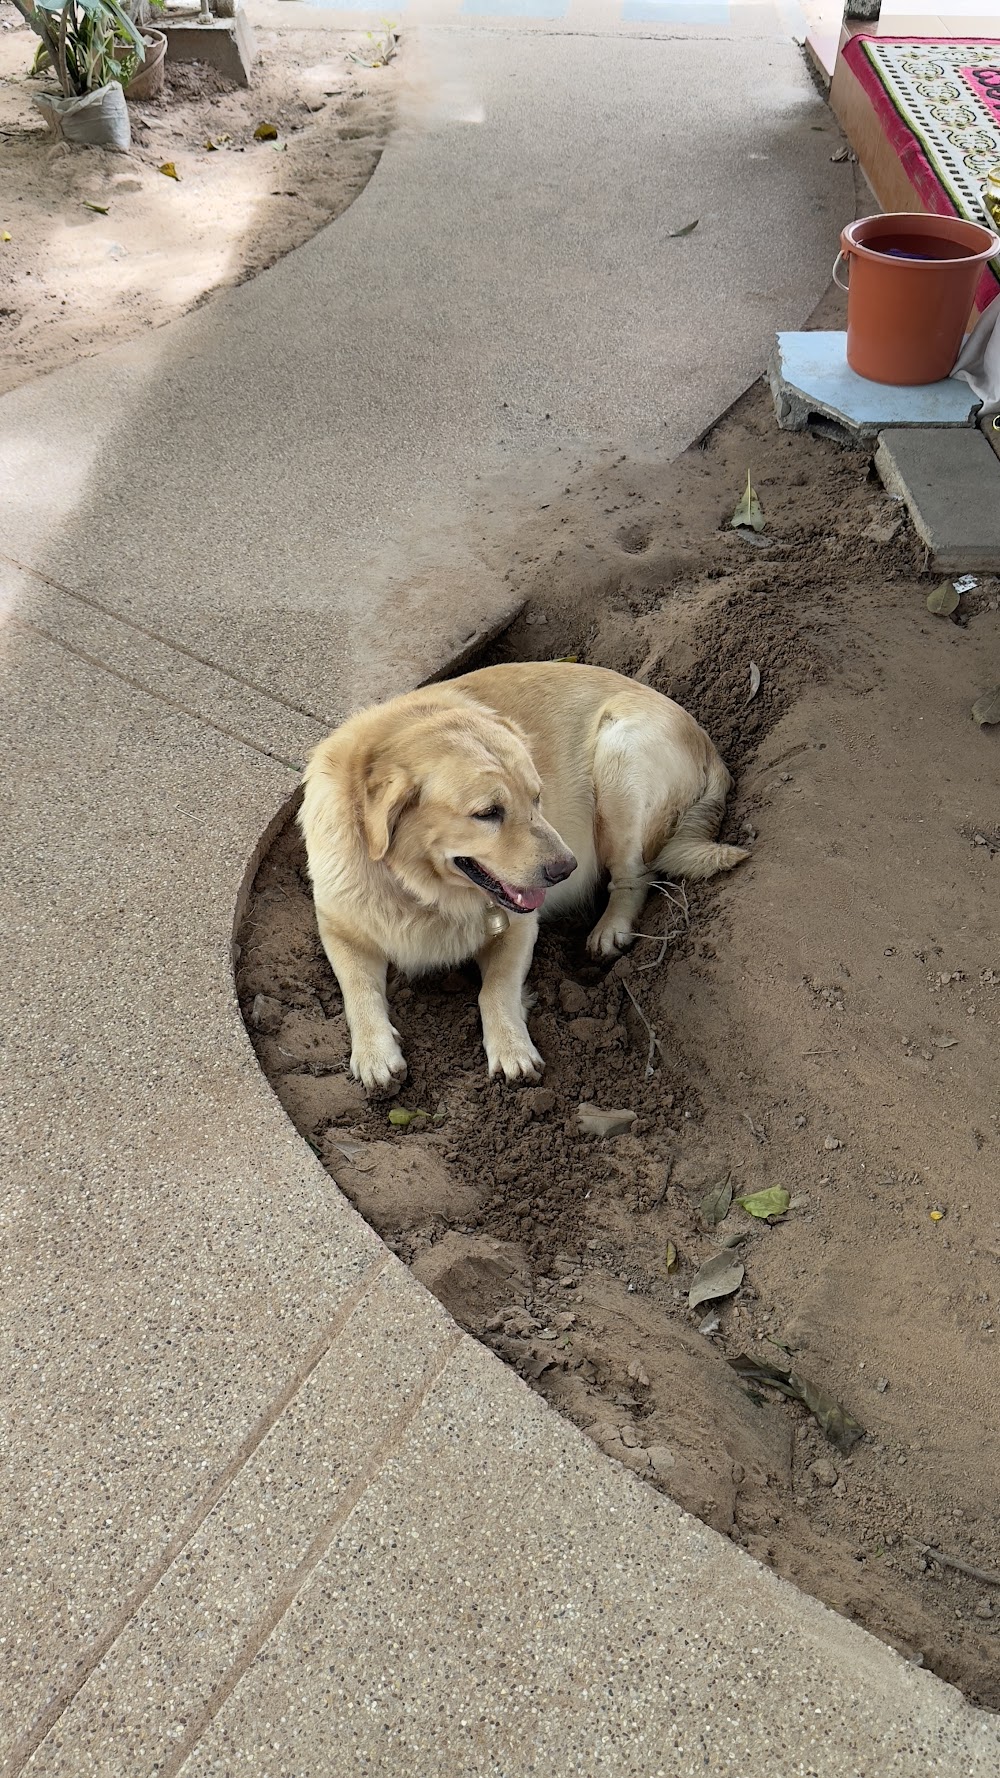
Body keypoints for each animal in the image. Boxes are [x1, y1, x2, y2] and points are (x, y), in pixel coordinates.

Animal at [298, 664, 743, 1088]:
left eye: (537, 797)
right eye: (488, 813)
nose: (566, 869)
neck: (418, 890)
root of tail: (707, 743)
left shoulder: (519, 927)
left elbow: (494, 990)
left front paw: (511, 1047)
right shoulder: (337, 926)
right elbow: (358, 990)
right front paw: (374, 1053)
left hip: (621, 762)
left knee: (635, 876)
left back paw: (610, 929)